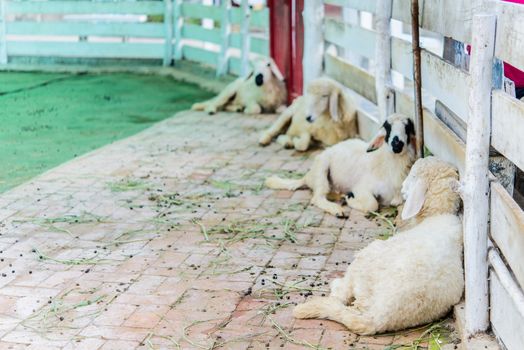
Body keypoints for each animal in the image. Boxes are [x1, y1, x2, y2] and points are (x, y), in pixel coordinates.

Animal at [266, 113, 418, 216]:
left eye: (407, 128)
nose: (397, 145)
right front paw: (350, 199)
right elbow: (372, 205)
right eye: (388, 128)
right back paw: (337, 210)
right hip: (322, 168)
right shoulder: (361, 188)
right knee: (317, 197)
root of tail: (307, 177)